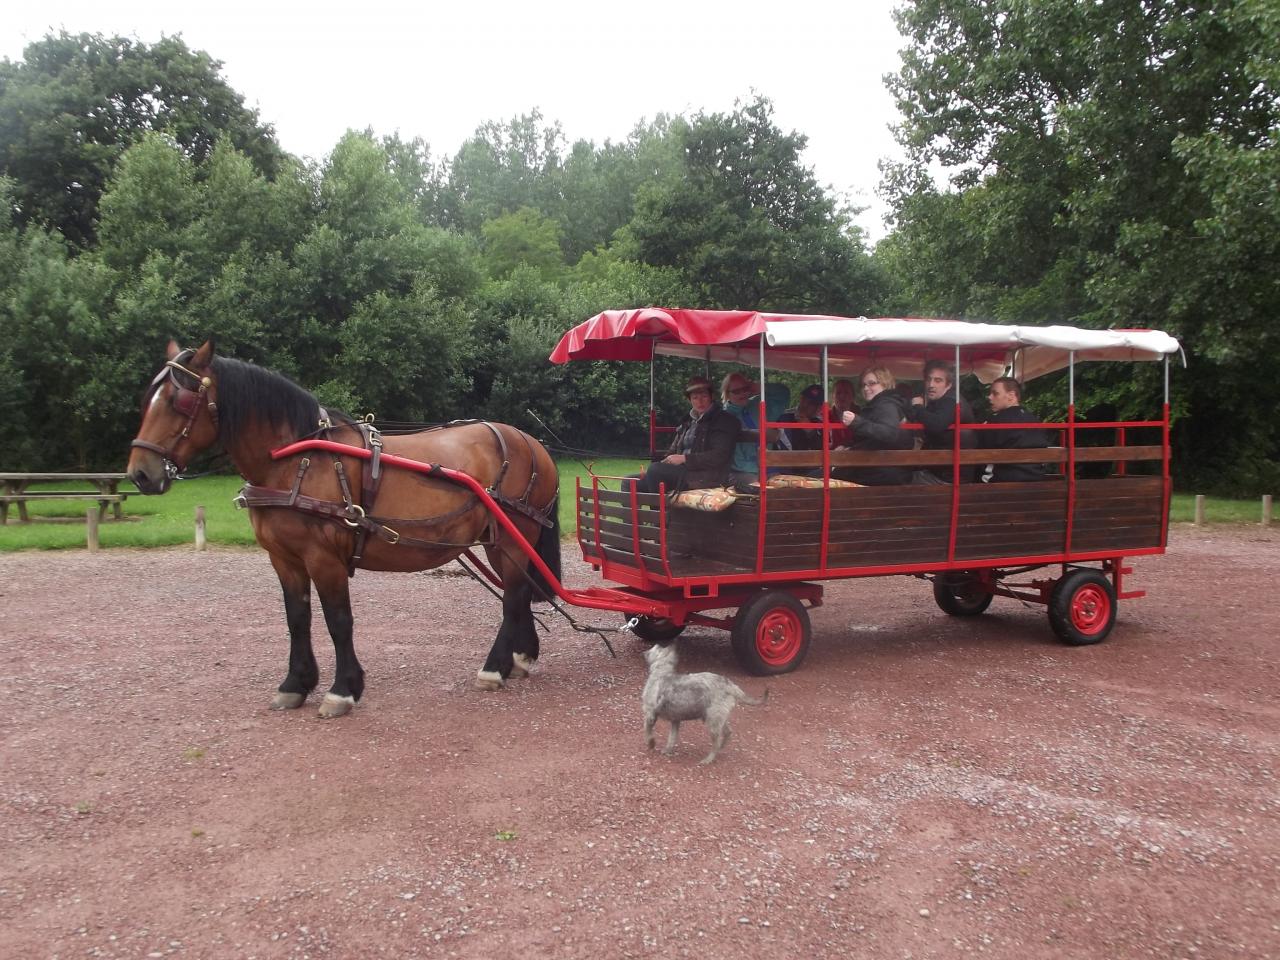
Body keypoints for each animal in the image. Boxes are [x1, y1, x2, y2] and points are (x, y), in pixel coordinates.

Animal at [127, 343, 563, 716]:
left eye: (180, 402)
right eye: (147, 399)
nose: (140, 475)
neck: (294, 461)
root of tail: (531, 441)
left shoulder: (324, 559)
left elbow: (339, 621)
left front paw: (342, 690)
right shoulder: (284, 559)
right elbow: (297, 619)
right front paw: (295, 684)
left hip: (512, 535)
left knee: (513, 595)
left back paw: (494, 667)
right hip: (499, 539)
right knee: (519, 591)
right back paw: (519, 658)